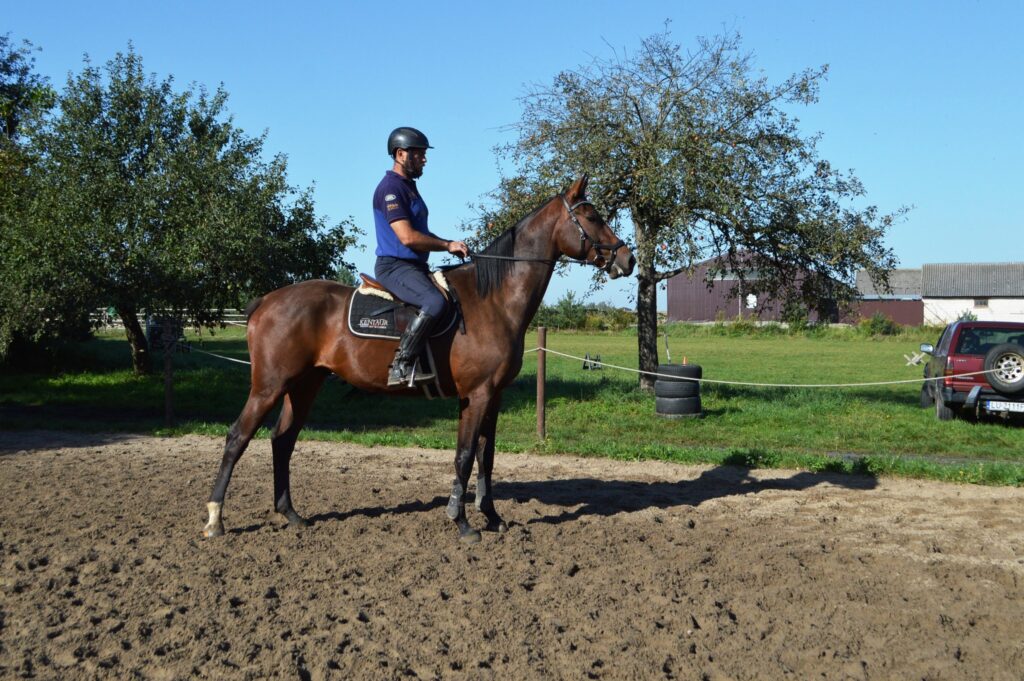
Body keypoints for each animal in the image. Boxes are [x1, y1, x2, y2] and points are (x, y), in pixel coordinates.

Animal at [199, 176, 630, 540]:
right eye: (592, 217)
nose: (628, 260)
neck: (492, 300)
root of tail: (266, 302)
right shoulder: (476, 395)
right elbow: (464, 456)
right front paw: (462, 522)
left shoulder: (492, 396)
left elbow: (486, 457)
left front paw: (491, 516)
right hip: (270, 385)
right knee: (237, 438)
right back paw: (215, 519)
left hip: (303, 385)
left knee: (282, 440)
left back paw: (290, 514)